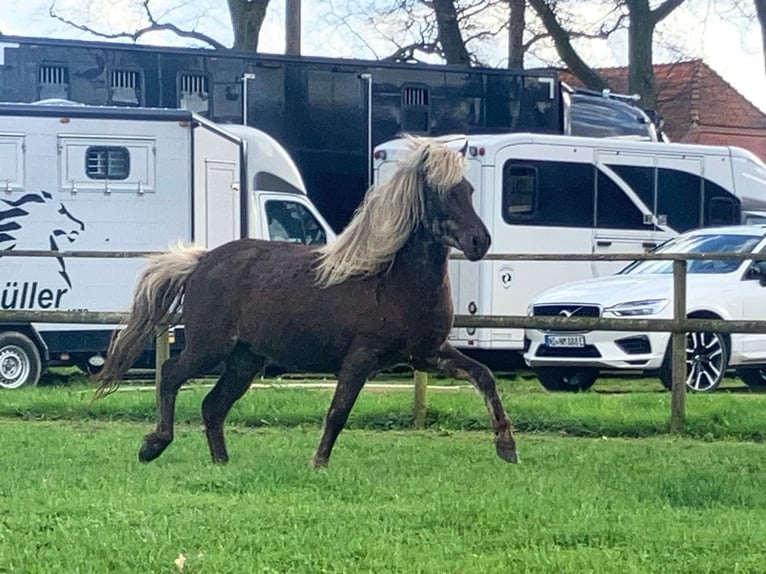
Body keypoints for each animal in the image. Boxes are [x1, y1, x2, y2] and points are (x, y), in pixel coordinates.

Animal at [93, 137, 520, 470]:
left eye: (468, 189)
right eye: (439, 191)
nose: (480, 241)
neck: (393, 282)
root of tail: (201, 261)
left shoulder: (428, 354)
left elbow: (485, 376)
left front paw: (507, 447)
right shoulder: (361, 356)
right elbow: (338, 411)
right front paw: (318, 462)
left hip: (245, 360)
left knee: (213, 406)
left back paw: (222, 463)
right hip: (209, 347)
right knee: (170, 376)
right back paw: (154, 444)